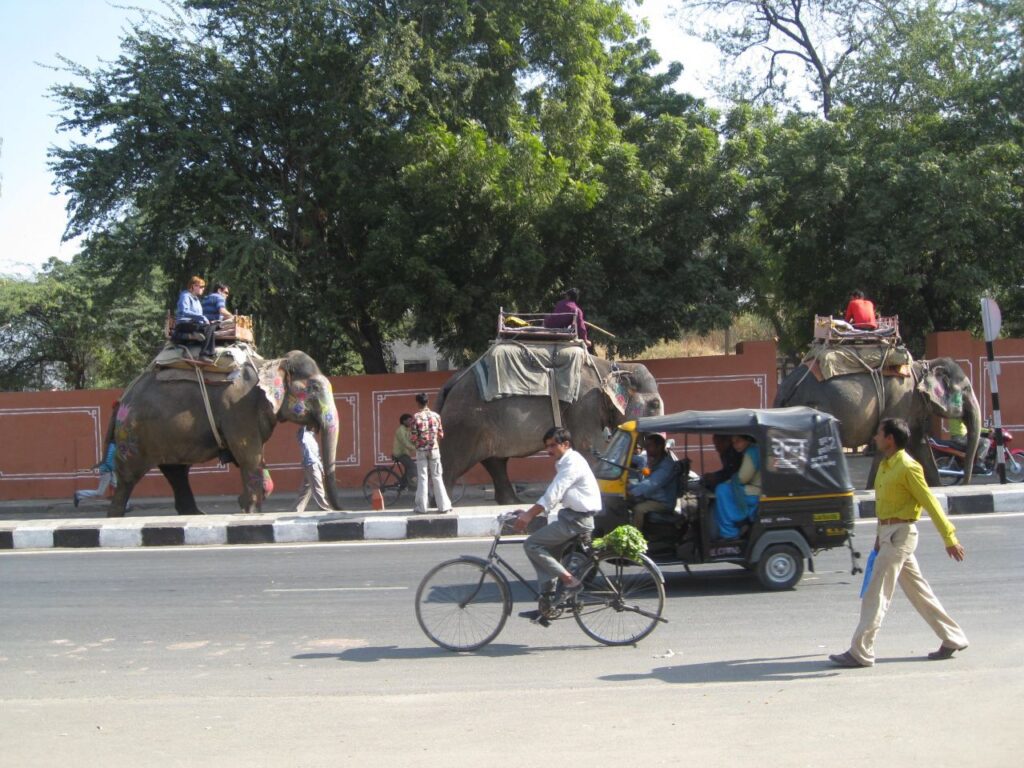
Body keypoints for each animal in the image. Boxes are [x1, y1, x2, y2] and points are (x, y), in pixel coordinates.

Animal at [108, 348, 342, 518]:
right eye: (314, 389)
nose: (338, 509)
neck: (270, 363)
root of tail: (122, 398)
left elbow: (255, 459)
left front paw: (245, 504)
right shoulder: (239, 409)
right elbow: (248, 455)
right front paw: (250, 510)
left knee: (177, 472)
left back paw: (195, 514)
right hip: (132, 436)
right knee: (128, 476)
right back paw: (115, 516)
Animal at [438, 354, 663, 505]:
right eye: (654, 405)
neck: (613, 366)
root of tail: (450, 384)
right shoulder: (584, 403)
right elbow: (590, 446)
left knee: (495, 462)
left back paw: (512, 503)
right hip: (465, 424)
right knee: (453, 462)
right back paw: (444, 505)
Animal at [770, 354, 978, 487]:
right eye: (967, 389)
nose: (965, 483)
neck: (922, 367)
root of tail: (785, 386)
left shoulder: (913, 405)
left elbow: (919, 444)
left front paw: (937, 488)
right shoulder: (900, 400)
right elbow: (887, 440)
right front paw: (873, 489)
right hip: (816, 406)